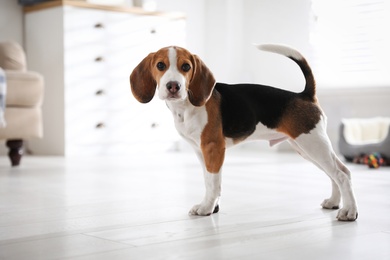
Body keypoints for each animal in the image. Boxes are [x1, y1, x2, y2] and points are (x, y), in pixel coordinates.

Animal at [129, 44, 358, 221]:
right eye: (160, 65)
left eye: (186, 66)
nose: (173, 86)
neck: (186, 107)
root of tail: (305, 95)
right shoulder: (200, 151)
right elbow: (210, 181)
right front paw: (213, 206)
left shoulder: (213, 148)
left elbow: (212, 182)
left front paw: (206, 208)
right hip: (308, 147)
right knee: (338, 172)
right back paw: (334, 202)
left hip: (313, 145)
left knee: (341, 175)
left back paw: (349, 212)